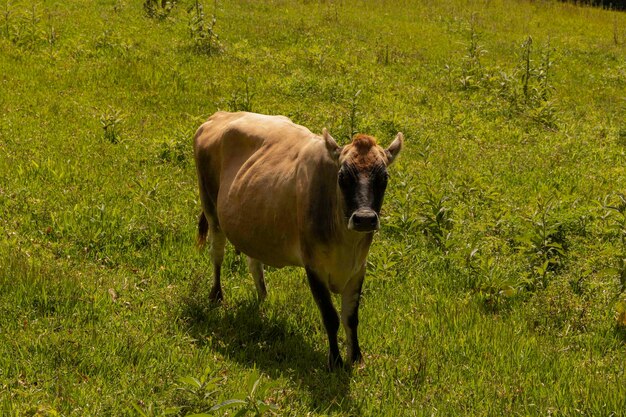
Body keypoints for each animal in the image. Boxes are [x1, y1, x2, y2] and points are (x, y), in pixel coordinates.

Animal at [193, 109, 402, 368]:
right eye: (342, 177)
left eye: (384, 178)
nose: (364, 219)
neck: (346, 243)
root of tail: (220, 115)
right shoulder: (314, 267)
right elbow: (330, 317)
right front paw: (335, 361)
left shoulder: (358, 268)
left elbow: (351, 318)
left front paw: (356, 359)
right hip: (210, 207)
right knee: (217, 253)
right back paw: (216, 295)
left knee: (254, 261)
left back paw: (263, 298)